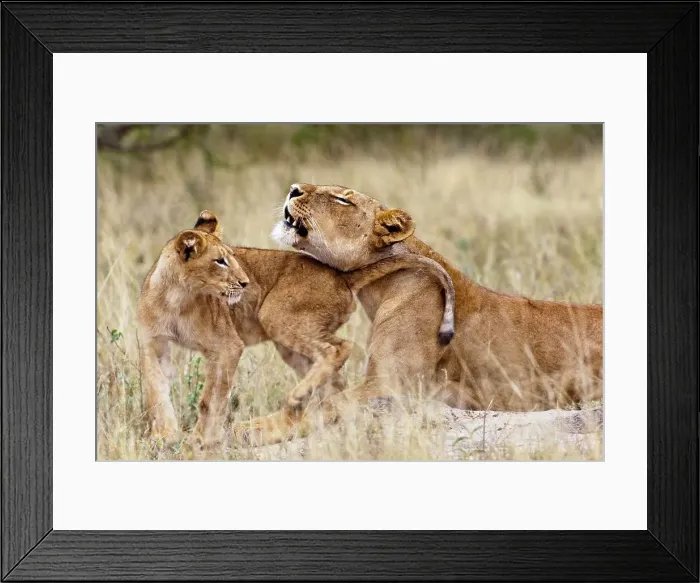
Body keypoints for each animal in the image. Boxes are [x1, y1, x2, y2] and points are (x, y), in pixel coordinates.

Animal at [137, 210, 456, 446]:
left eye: (233, 258)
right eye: (219, 261)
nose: (245, 283)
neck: (176, 298)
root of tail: (342, 276)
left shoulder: (227, 346)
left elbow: (210, 399)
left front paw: (200, 439)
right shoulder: (153, 345)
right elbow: (155, 392)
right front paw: (164, 436)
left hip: (276, 316)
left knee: (340, 348)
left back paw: (294, 398)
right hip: (291, 344)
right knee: (334, 388)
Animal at [254, 183, 603, 438]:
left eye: (342, 199)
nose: (293, 189)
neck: (381, 287)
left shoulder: (389, 385)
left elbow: (325, 405)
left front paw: (253, 429)